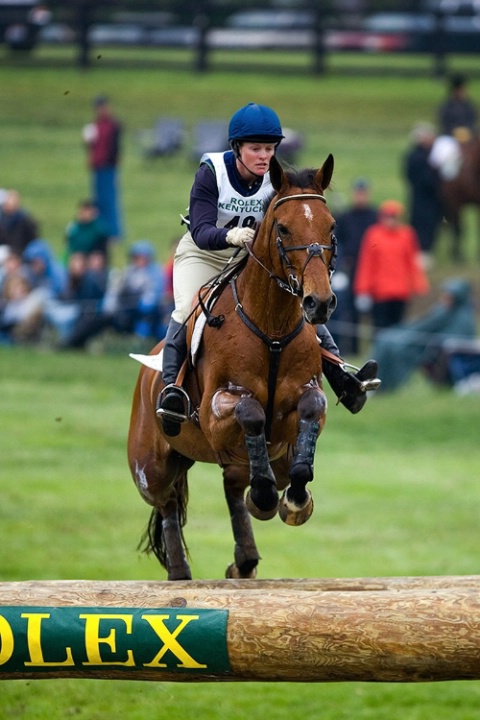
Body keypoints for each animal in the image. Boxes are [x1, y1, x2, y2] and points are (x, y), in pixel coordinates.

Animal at [127, 153, 338, 580]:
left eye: (332, 227)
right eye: (283, 228)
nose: (319, 303)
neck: (271, 326)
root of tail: (146, 372)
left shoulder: (300, 408)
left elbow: (312, 410)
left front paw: (296, 500)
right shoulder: (216, 411)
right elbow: (250, 410)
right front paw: (268, 497)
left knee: (231, 486)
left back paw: (245, 559)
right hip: (150, 466)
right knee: (167, 500)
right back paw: (181, 572)